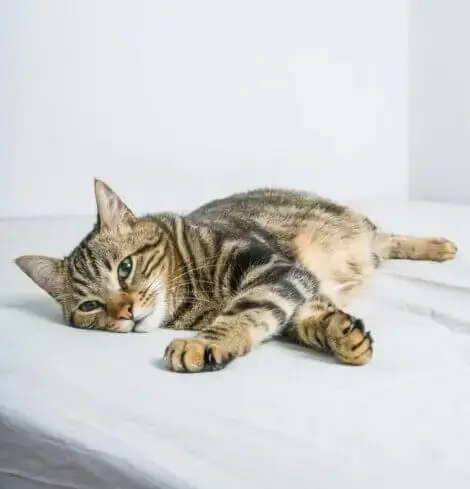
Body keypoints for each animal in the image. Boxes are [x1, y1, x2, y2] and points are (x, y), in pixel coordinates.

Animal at [14, 177, 456, 372]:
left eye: (125, 268)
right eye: (90, 305)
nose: (125, 312)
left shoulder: (272, 268)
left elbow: (248, 309)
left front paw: (205, 343)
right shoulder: (297, 285)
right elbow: (301, 318)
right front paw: (339, 333)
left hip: (360, 229)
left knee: (387, 236)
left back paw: (439, 245)